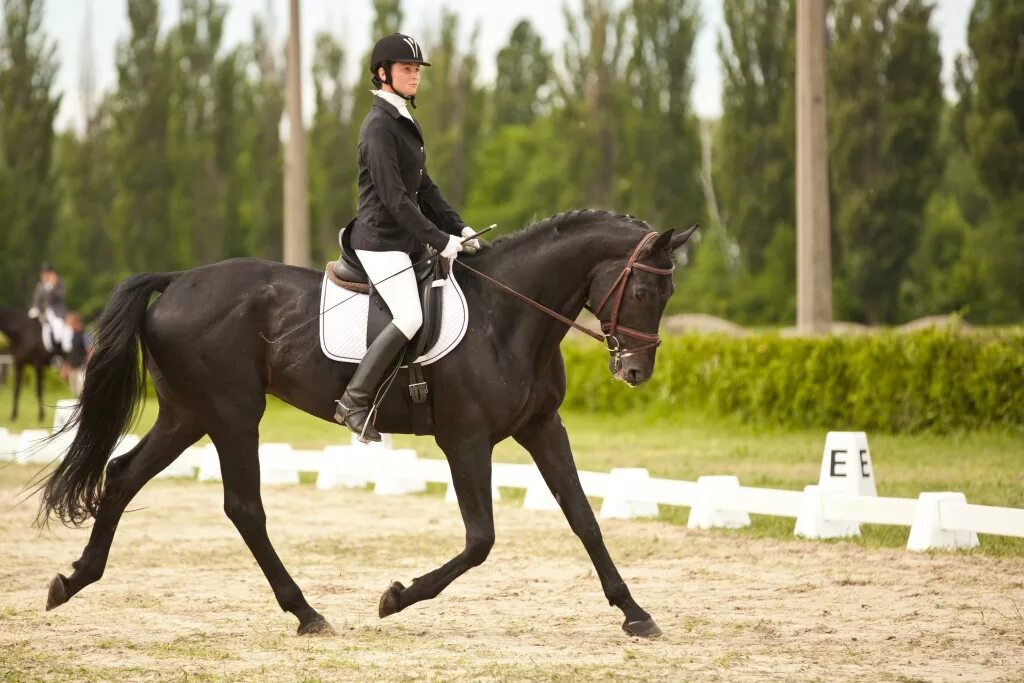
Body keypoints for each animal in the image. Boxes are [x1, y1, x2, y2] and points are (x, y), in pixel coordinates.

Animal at [37, 209, 696, 643]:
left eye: (667, 293)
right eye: (643, 288)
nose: (634, 371)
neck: (509, 315)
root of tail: (176, 281)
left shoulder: (541, 427)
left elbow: (584, 519)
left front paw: (635, 613)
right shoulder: (465, 439)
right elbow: (480, 539)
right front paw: (397, 598)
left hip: (187, 414)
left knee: (122, 476)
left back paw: (73, 580)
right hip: (231, 414)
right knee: (243, 507)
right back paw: (306, 613)